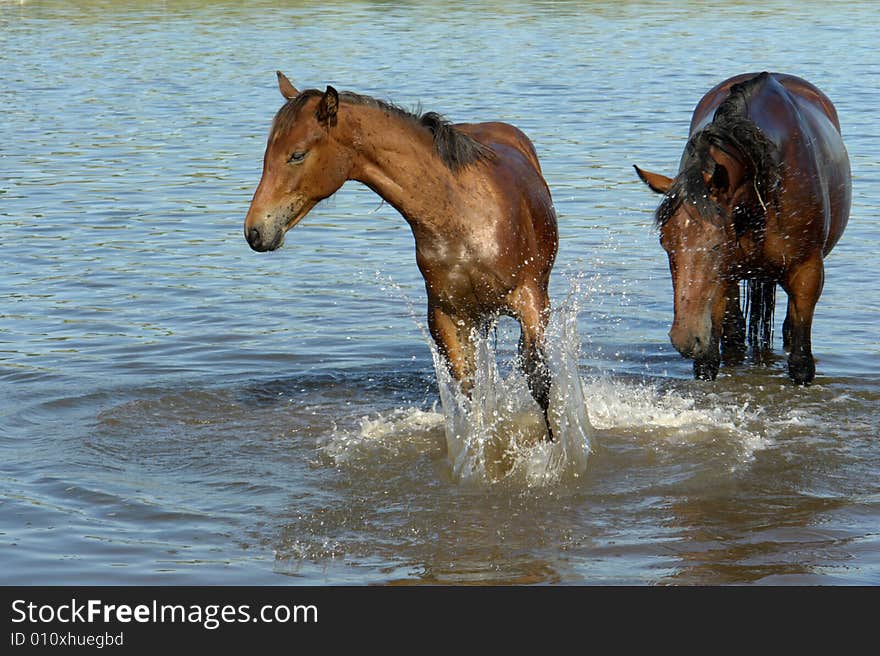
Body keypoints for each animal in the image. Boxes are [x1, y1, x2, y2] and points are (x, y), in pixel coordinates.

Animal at [242, 72, 556, 438]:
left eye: (297, 155)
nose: (254, 230)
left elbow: (539, 382)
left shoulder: (530, 302)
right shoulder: (448, 317)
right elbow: (468, 393)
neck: (462, 218)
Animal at [636, 72, 848, 384]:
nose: (684, 338)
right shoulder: (723, 279)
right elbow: (708, 361)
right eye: (666, 243)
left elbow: (800, 363)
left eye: (715, 244)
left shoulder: (807, 272)